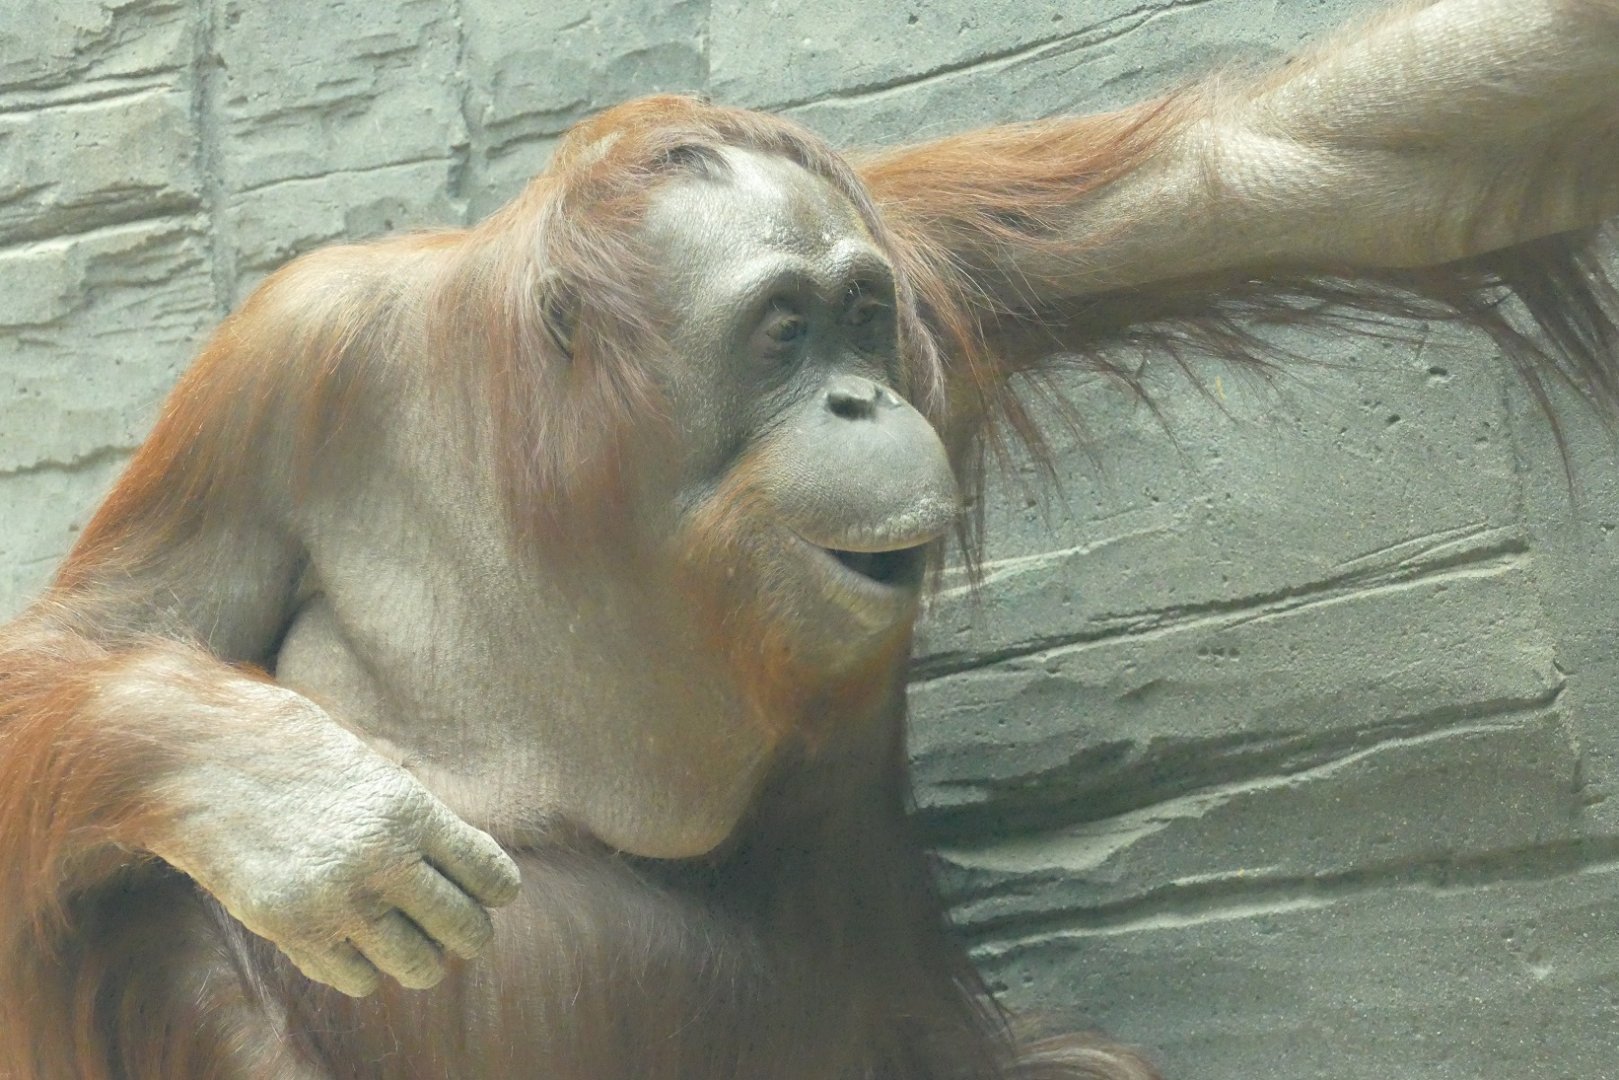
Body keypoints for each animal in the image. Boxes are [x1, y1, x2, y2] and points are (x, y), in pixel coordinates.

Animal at [0, 1, 1615, 1077]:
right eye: (780, 331)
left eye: (854, 316)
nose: (858, 399)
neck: (594, 483)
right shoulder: (289, 358)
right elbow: (83, 639)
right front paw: (296, 811)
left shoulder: (925, 252)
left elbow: (1348, 161)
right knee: (115, 900)